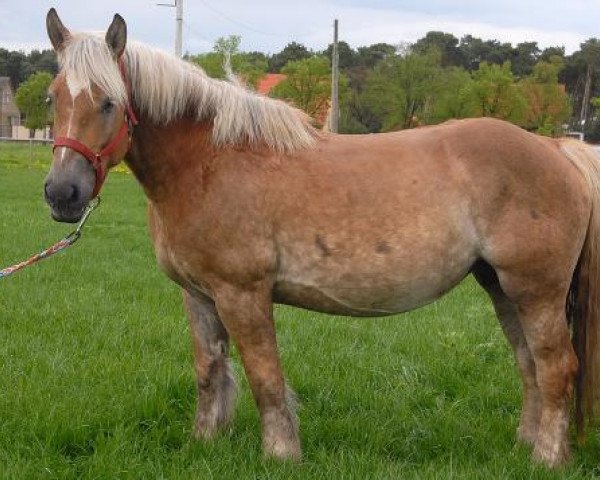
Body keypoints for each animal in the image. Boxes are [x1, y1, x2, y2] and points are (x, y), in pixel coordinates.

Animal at [42, 10, 600, 468]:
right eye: (54, 97)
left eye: (109, 102)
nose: (62, 193)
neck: (208, 162)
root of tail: (558, 149)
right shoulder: (198, 295)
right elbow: (210, 370)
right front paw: (205, 442)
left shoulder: (243, 294)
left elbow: (265, 376)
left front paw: (281, 454)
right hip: (502, 287)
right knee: (529, 364)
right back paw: (525, 447)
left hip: (536, 290)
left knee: (556, 367)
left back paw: (547, 459)